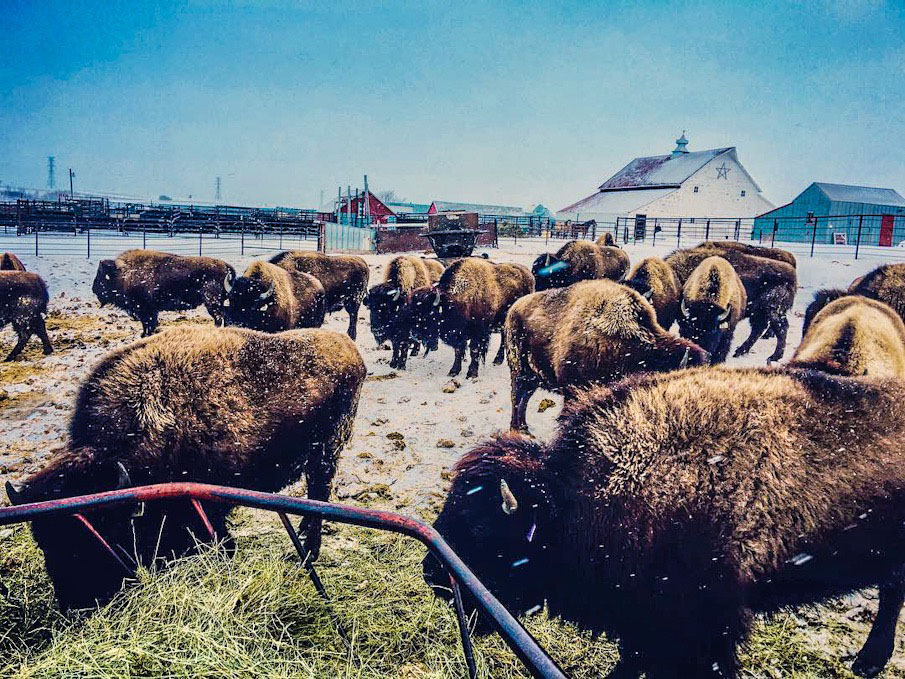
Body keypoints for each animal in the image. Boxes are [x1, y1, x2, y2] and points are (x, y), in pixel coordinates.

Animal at [4, 326, 364, 612]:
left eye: (105, 529)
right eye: (43, 541)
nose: (76, 605)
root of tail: (349, 349)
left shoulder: (206, 508)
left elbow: (219, 541)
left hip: (326, 453)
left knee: (319, 493)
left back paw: (309, 550)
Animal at [93, 250, 235, 338]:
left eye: (101, 276)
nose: (94, 289)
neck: (122, 274)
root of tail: (226, 266)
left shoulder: (145, 310)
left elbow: (148, 323)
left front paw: (145, 335)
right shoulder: (151, 310)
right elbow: (149, 324)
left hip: (212, 303)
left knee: (218, 318)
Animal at [502, 280, 708, 430]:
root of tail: (514, 309)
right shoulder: (573, 391)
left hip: (534, 377)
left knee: (524, 398)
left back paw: (524, 427)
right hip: (519, 370)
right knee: (516, 397)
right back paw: (517, 428)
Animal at [664, 244, 800, 362]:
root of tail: (792, 272)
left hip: (772, 310)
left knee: (781, 328)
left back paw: (774, 356)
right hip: (760, 312)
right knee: (759, 329)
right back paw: (740, 351)